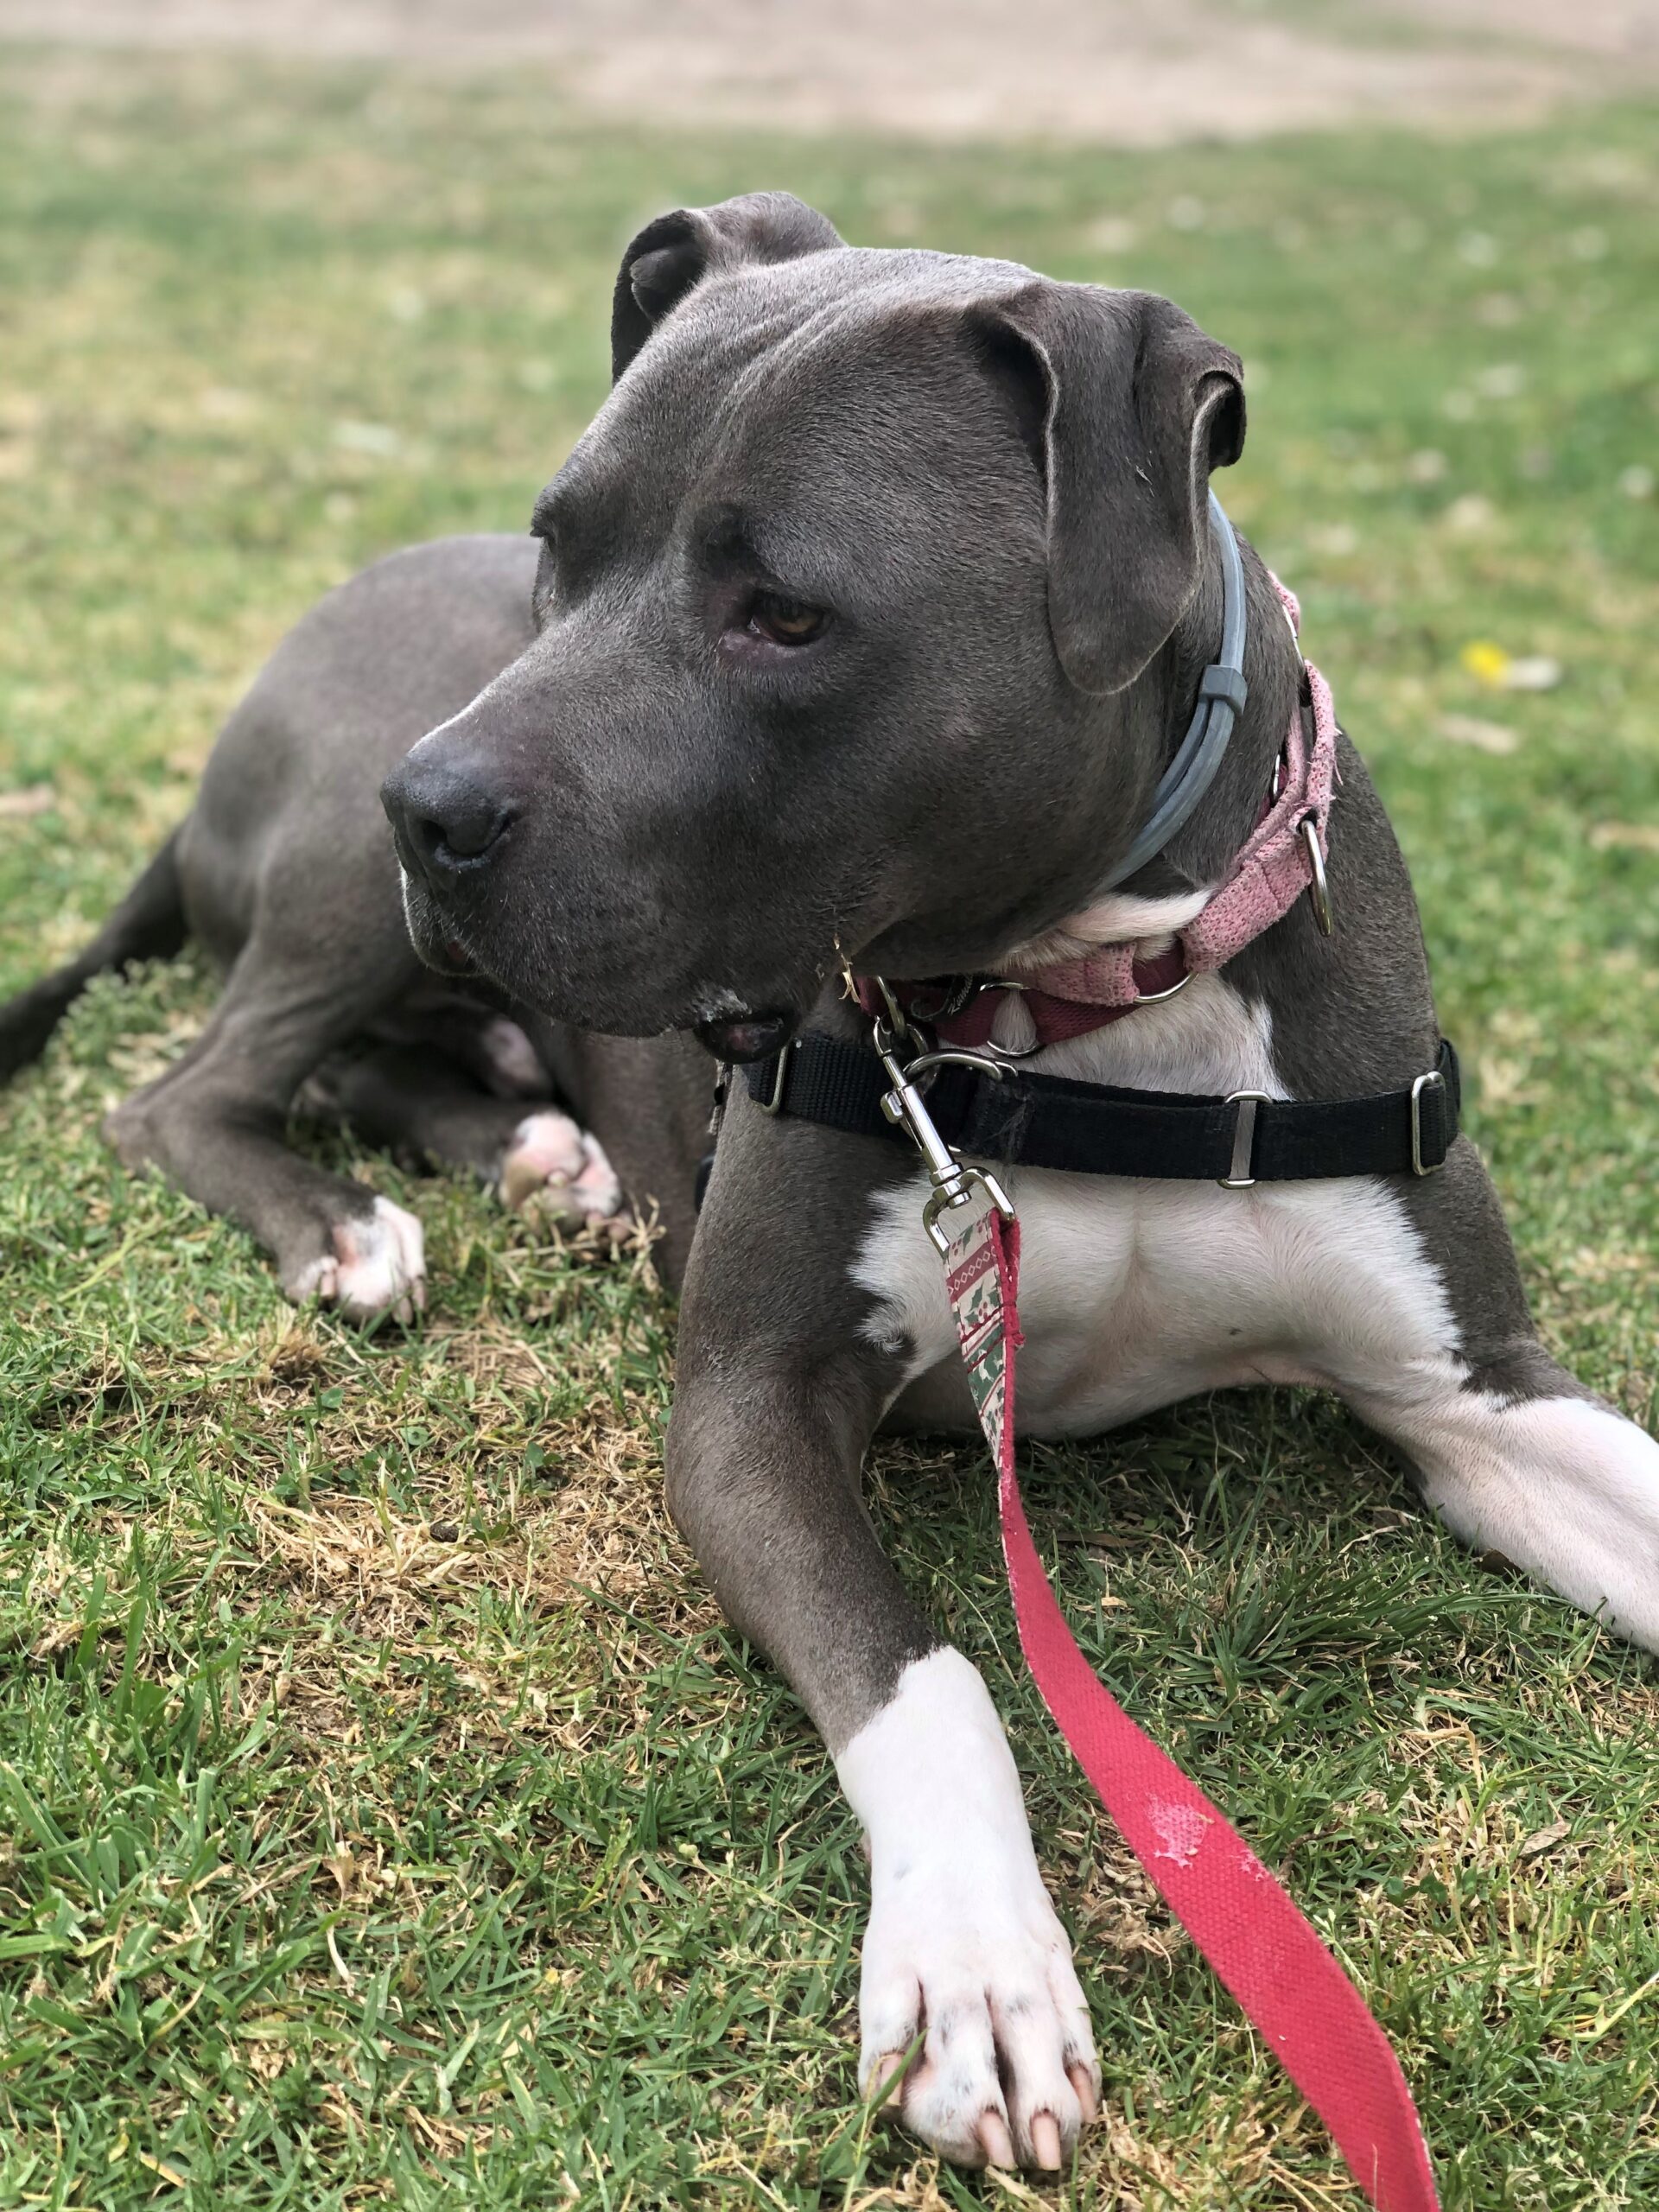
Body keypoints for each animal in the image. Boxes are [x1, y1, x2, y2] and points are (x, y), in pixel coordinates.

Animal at [7, 192, 1658, 2172]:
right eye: (558, 548)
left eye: (787, 614)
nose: (435, 808)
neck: (1083, 1004)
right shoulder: (747, 1407)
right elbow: (923, 1670)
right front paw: (978, 1969)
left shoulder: (1475, 1387)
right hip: (335, 861)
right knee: (188, 1095)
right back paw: (343, 1229)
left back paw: (544, 1156)